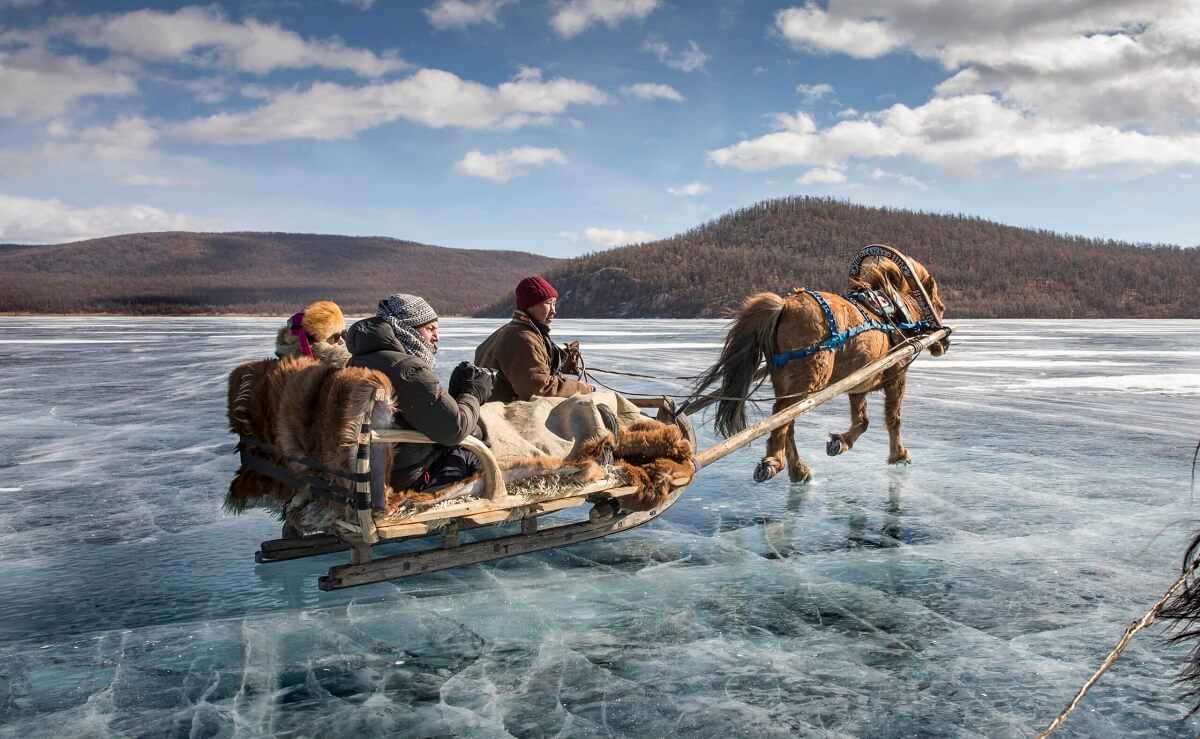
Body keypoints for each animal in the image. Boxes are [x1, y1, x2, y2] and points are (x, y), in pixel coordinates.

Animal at [696, 245, 945, 482]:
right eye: (940, 307)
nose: (944, 343)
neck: (898, 312)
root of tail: (783, 306)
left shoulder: (858, 382)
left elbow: (862, 420)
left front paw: (839, 443)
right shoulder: (897, 373)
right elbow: (894, 418)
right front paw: (899, 455)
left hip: (786, 381)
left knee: (787, 420)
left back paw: (798, 469)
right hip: (810, 379)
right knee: (781, 415)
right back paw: (773, 461)